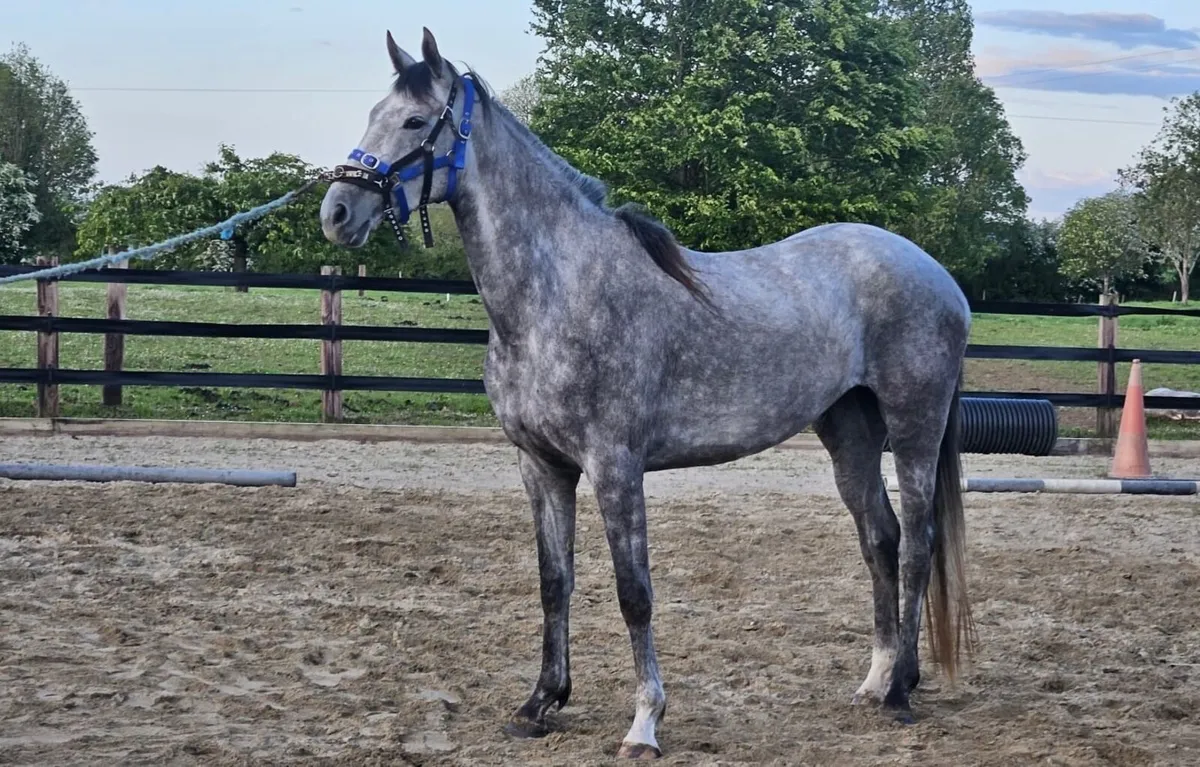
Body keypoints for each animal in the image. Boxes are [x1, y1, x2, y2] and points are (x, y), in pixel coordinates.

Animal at [318, 27, 975, 760]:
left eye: (412, 122)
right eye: (373, 113)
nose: (337, 213)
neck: (555, 292)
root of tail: (941, 278)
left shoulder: (615, 466)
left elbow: (634, 592)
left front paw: (644, 724)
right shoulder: (541, 466)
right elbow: (554, 581)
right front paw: (540, 701)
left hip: (913, 427)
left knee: (917, 543)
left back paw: (900, 692)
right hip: (849, 432)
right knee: (880, 539)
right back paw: (879, 679)